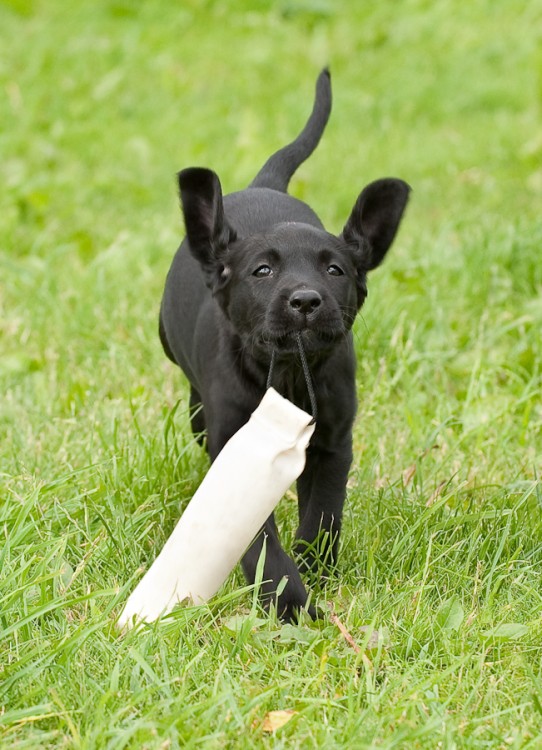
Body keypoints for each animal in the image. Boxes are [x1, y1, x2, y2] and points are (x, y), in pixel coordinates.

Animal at [159, 70, 410, 624]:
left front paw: (315, 571)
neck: (290, 373)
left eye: (335, 270)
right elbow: (260, 542)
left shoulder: (334, 442)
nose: (306, 301)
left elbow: (322, 515)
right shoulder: (234, 448)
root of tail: (265, 184)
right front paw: (290, 601)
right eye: (262, 271)